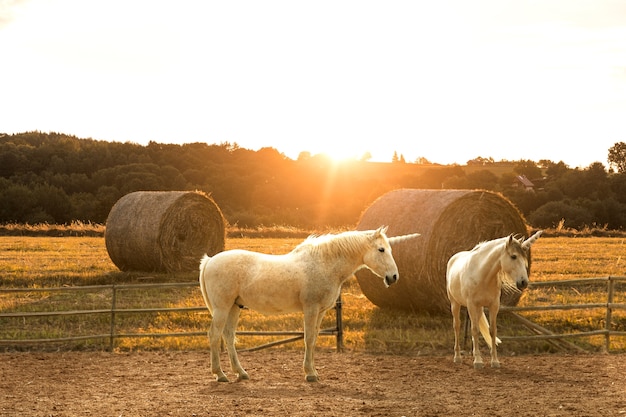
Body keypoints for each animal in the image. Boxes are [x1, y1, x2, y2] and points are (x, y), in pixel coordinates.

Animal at [197, 226, 416, 382]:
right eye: (381, 249)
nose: (393, 277)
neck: (324, 264)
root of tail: (209, 261)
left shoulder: (320, 312)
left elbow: (314, 339)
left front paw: (313, 371)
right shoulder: (311, 309)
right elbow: (308, 339)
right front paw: (310, 374)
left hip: (234, 307)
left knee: (228, 336)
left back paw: (240, 373)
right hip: (222, 308)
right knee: (214, 335)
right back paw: (220, 374)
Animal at [444, 229, 540, 368]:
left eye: (524, 258)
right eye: (513, 256)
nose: (523, 282)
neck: (482, 275)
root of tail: (453, 258)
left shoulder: (494, 306)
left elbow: (492, 331)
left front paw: (494, 361)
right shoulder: (471, 305)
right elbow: (474, 330)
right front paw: (478, 361)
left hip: (478, 308)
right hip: (455, 304)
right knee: (457, 326)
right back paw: (457, 357)